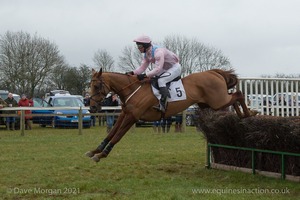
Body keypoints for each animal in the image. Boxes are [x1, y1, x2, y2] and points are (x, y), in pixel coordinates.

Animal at [85, 68, 250, 162]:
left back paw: (248, 114)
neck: (133, 89)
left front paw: (102, 154)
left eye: (97, 86)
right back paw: (243, 115)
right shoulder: (125, 114)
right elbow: (111, 132)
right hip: (210, 103)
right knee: (234, 98)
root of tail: (213, 72)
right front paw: (95, 150)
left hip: (217, 101)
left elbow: (118, 135)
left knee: (238, 94)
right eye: (90, 85)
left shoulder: (133, 117)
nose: (92, 107)